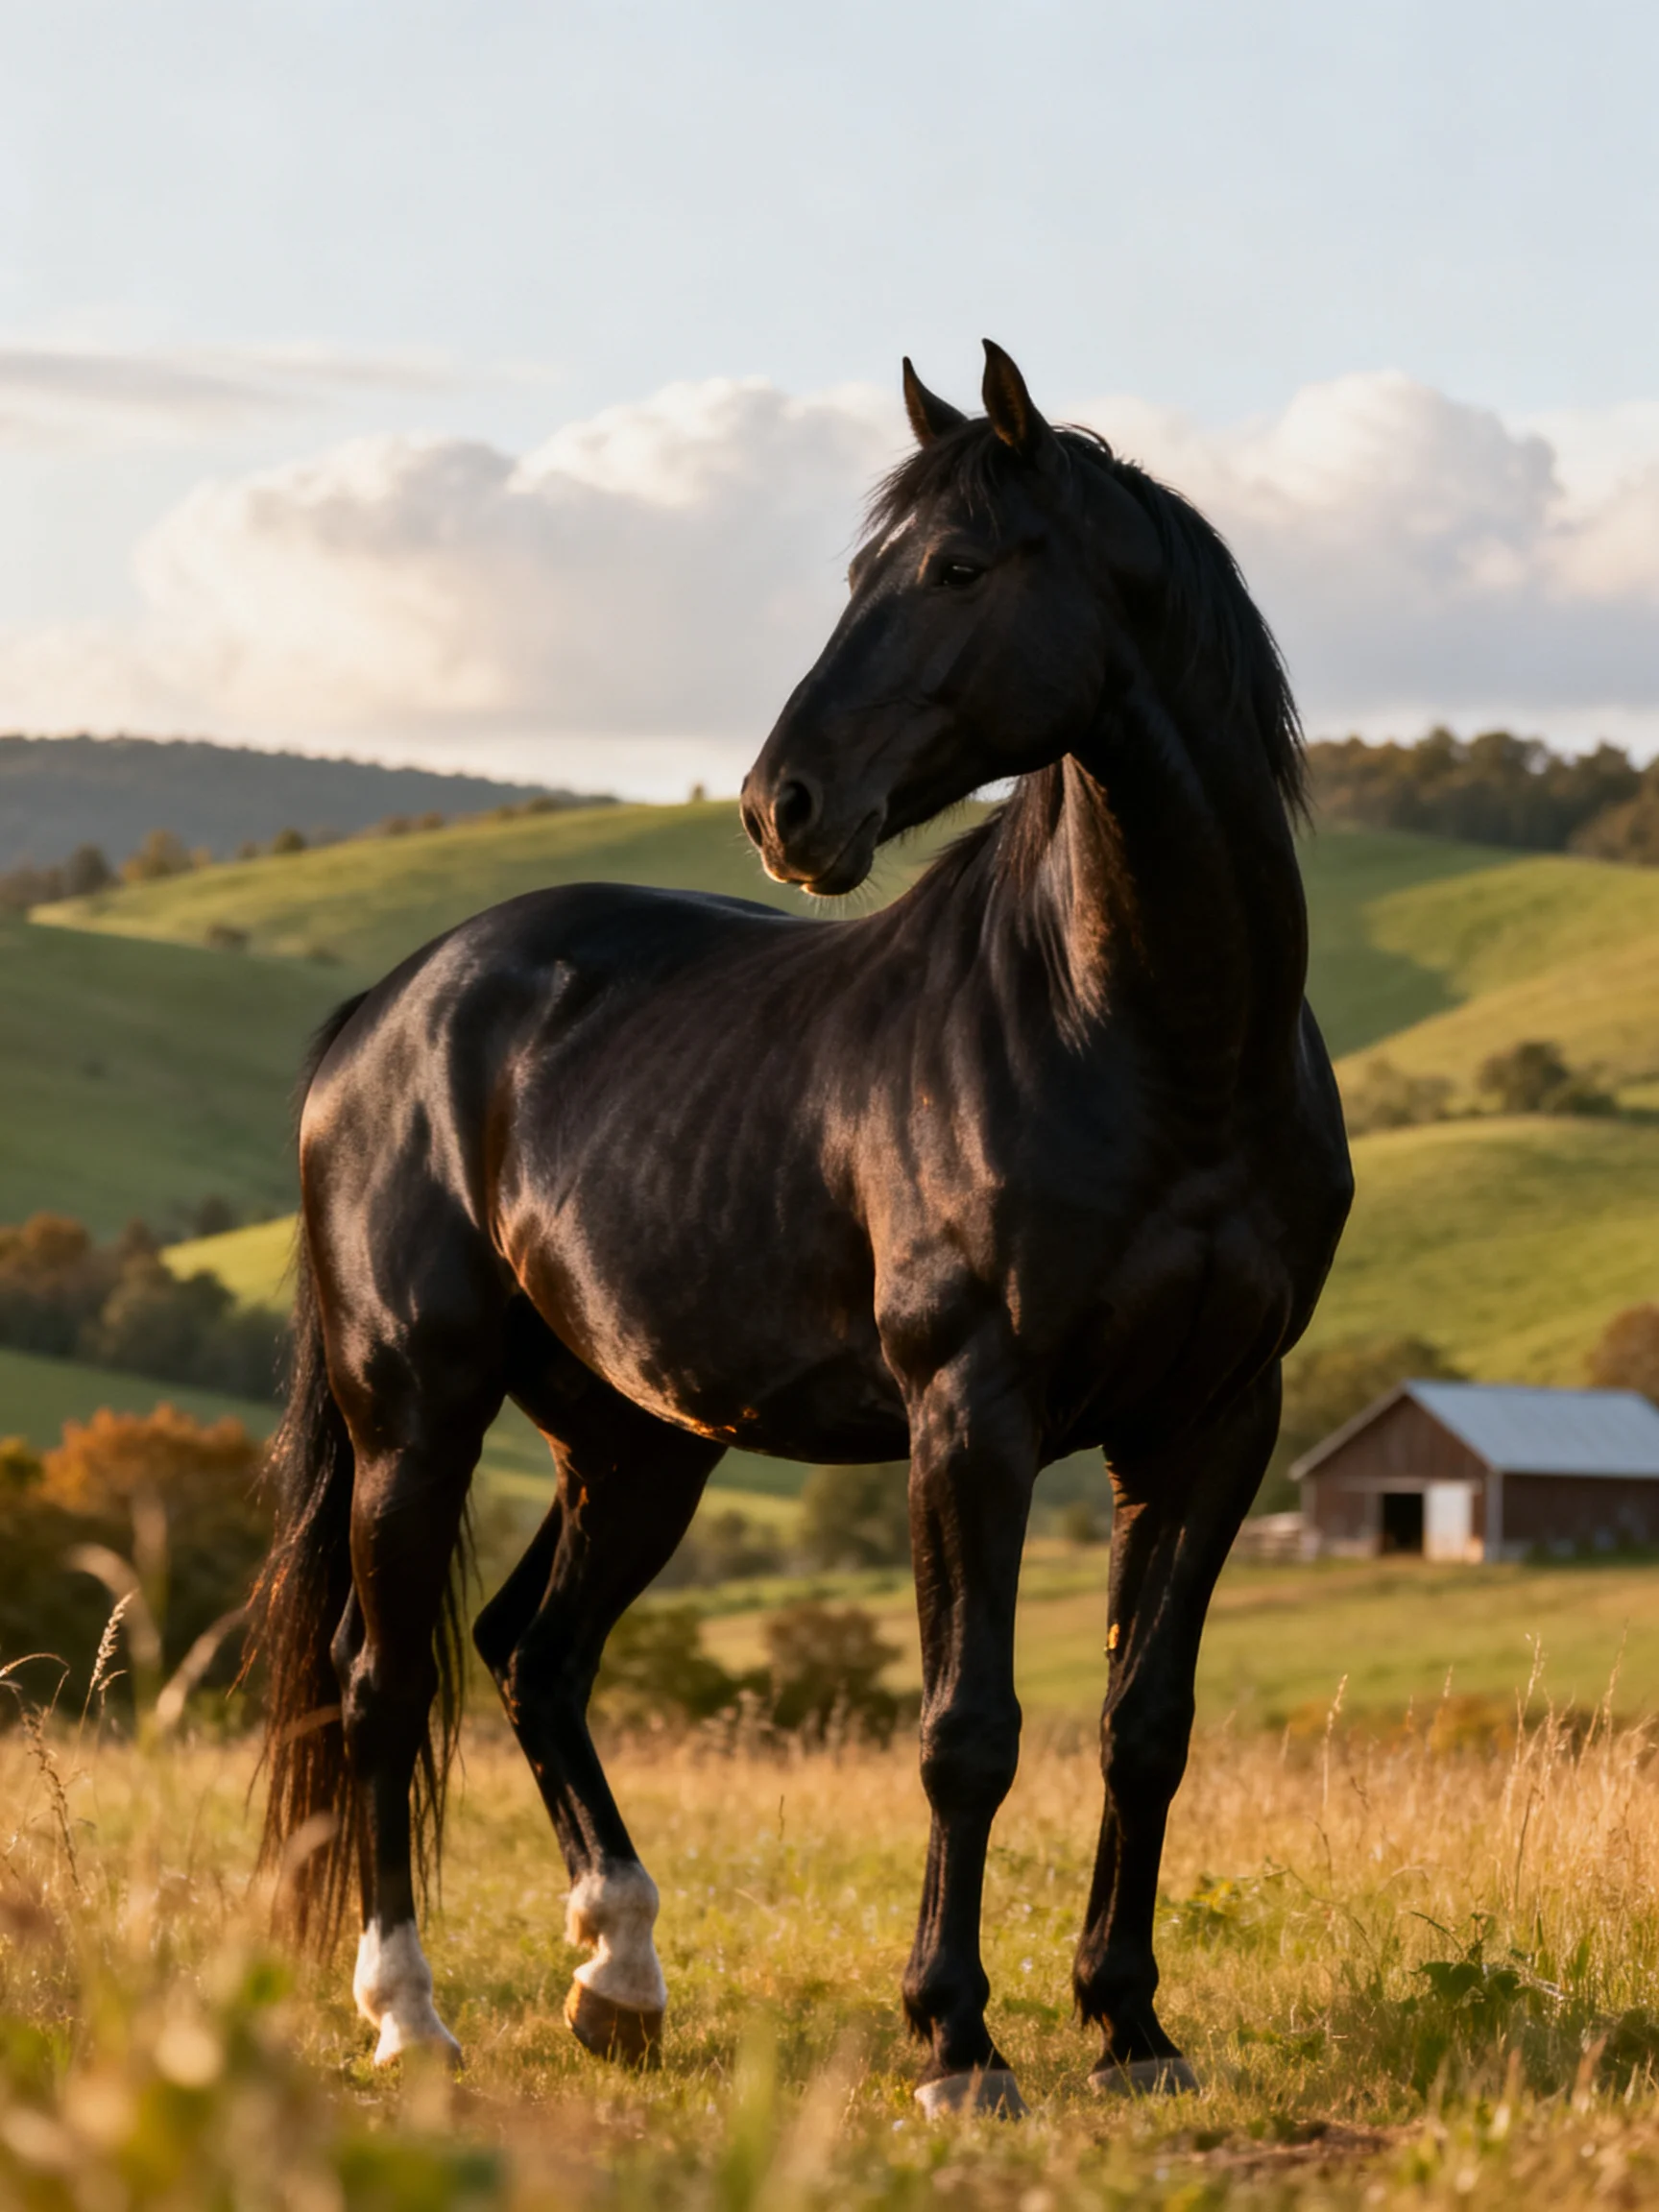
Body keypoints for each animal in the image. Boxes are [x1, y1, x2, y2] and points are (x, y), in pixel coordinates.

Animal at [253, 341, 1352, 2117]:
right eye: (863, 573)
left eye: (958, 568)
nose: (785, 805)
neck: (1151, 1038)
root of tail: (387, 1011)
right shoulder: (970, 1412)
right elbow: (966, 1730)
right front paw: (957, 2039)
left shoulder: (1211, 1423)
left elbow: (1147, 1725)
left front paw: (1128, 2026)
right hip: (412, 1416)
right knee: (384, 1683)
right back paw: (410, 2013)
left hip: (635, 1443)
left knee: (534, 1655)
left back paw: (620, 1976)